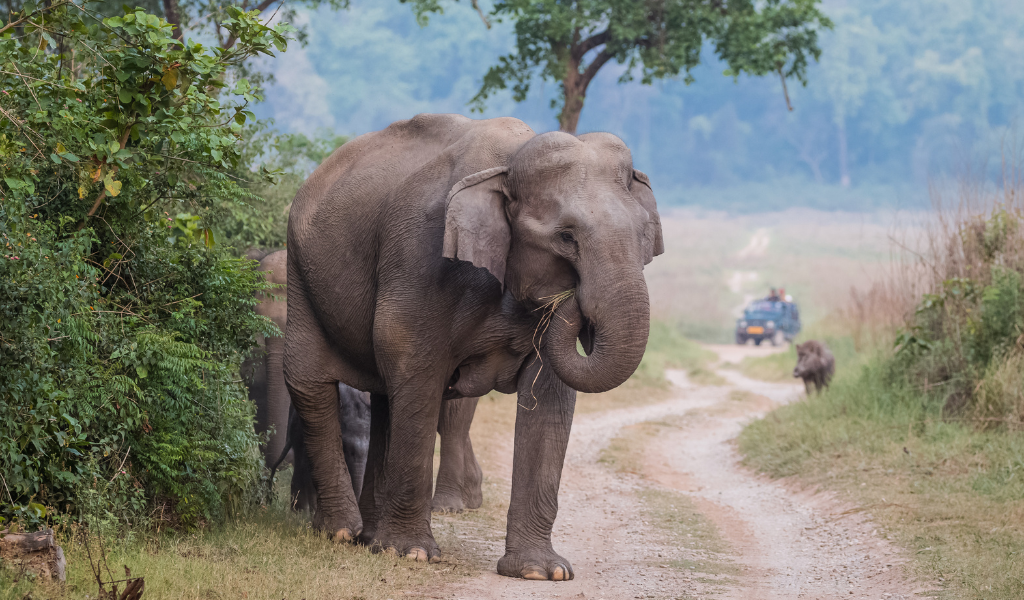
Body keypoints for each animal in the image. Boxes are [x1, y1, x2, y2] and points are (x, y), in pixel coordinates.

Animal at [283, 114, 663, 580]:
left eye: (645, 236)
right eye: (566, 238)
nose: (573, 299)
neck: (510, 161)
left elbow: (548, 397)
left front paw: (542, 572)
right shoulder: (420, 258)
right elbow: (415, 365)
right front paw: (412, 554)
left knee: (386, 398)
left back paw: (372, 539)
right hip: (300, 270)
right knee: (312, 385)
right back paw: (341, 533)